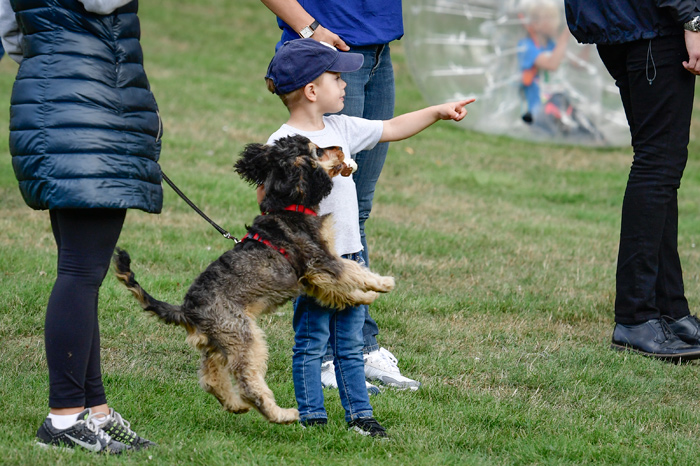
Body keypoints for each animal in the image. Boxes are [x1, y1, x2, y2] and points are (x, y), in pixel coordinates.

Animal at [112, 134, 392, 422]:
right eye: (318, 150)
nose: (339, 148)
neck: (289, 205)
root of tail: (186, 309)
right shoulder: (320, 260)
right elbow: (352, 270)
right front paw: (382, 284)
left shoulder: (312, 278)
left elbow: (339, 289)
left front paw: (363, 297)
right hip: (244, 337)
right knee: (249, 384)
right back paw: (282, 414)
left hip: (218, 343)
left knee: (211, 379)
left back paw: (236, 406)